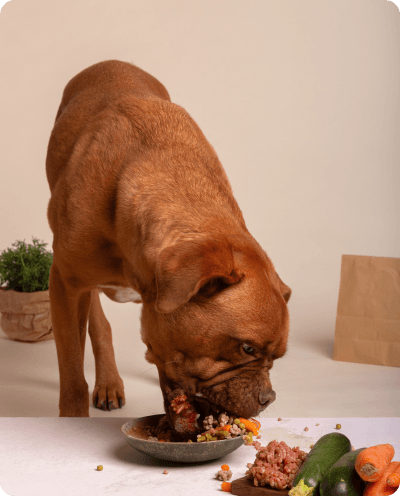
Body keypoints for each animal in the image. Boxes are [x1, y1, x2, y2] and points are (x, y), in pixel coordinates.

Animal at [46, 61, 290, 426]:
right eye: (247, 348)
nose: (268, 398)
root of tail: (111, 62)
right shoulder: (65, 285)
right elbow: (73, 373)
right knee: (96, 323)